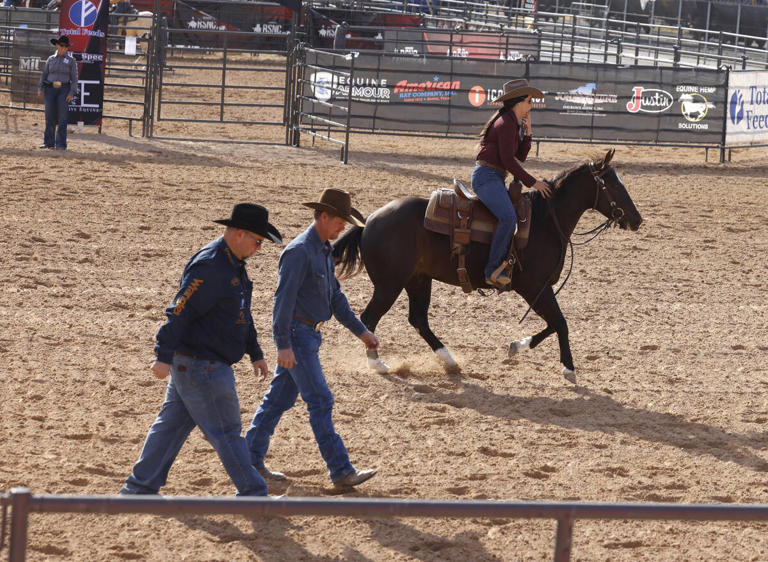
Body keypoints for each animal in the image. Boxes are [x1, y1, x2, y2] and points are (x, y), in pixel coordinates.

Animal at [336, 149, 640, 382]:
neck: (545, 221)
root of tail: (368, 223)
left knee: (418, 319)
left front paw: (517, 345)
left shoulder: (538, 289)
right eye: (614, 184)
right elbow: (560, 323)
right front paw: (569, 369)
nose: (637, 220)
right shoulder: (533, 286)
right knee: (369, 317)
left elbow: (553, 323)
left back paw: (449, 361)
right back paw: (377, 364)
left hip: (418, 280)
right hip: (390, 284)